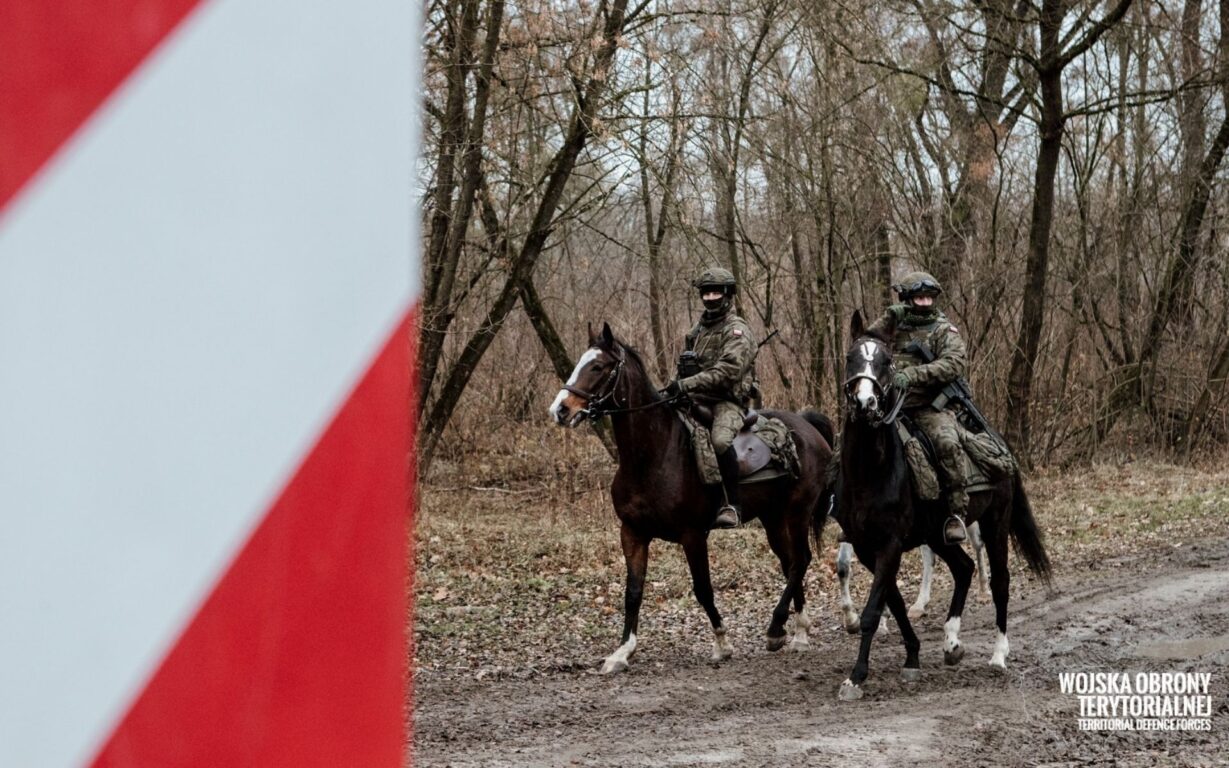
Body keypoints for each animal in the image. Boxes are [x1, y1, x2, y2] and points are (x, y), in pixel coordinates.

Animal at [550, 321, 830, 668]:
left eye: (598, 367)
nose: (560, 410)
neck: (652, 456)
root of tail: (807, 426)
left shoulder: (692, 535)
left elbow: (703, 589)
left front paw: (722, 643)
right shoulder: (632, 533)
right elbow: (633, 592)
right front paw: (622, 651)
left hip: (797, 512)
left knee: (800, 560)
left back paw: (777, 627)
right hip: (773, 518)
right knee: (791, 562)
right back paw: (798, 631)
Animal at [811, 312, 1052, 702]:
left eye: (886, 361)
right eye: (850, 357)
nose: (865, 403)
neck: (870, 471)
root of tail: (999, 443)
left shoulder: (890, 543)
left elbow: (873, 609)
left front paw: (856, 677)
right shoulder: (865, 546)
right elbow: (891, 600)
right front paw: (912, 657)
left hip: (995, 523)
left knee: (1000, 580)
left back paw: (999, 655)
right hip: (938, 534)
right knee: (964, 568)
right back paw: (951, 641)